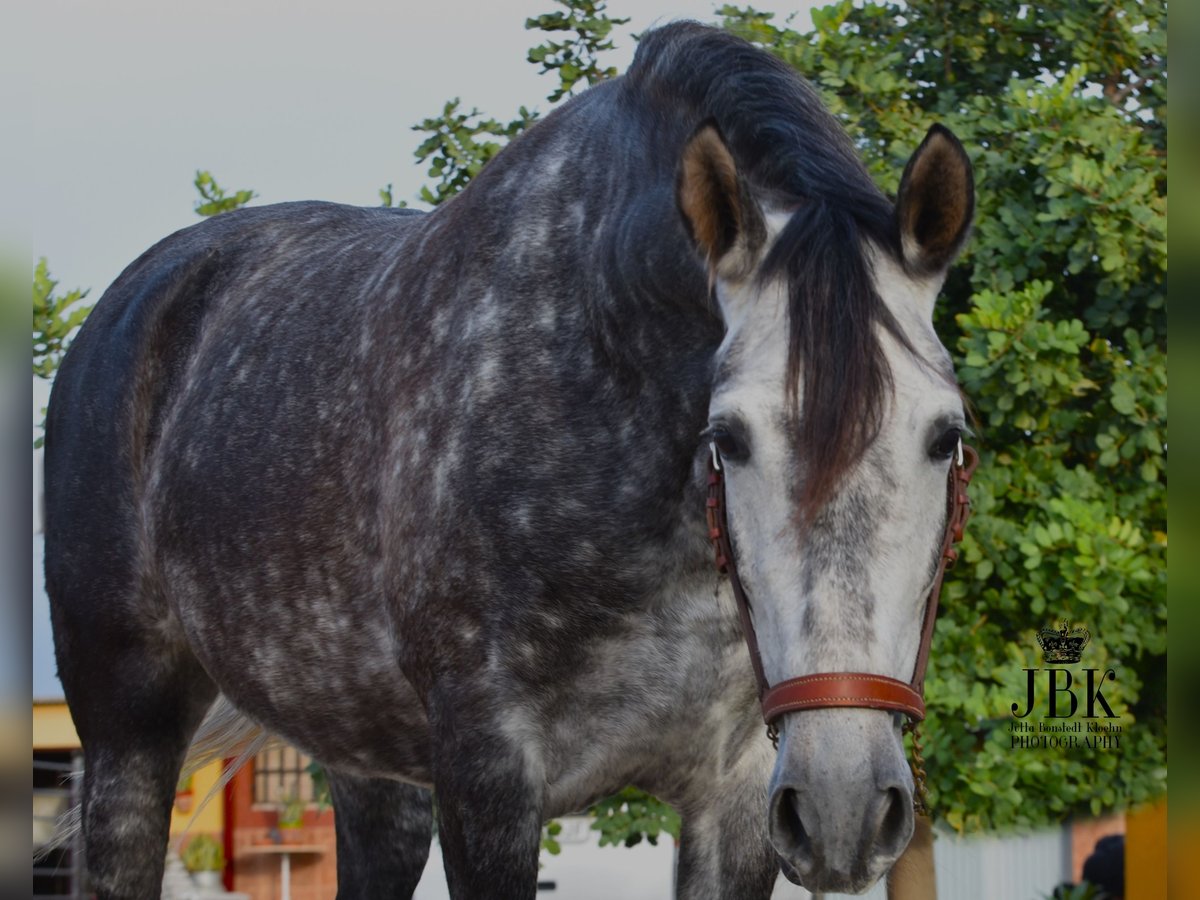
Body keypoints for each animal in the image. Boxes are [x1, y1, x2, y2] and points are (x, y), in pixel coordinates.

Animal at [44, 21, 974, 900]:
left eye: (945, 436)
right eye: (729, 439)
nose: (846, 808)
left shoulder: (739, 792)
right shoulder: (488, 775)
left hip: (368, 763)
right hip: (130, 739)